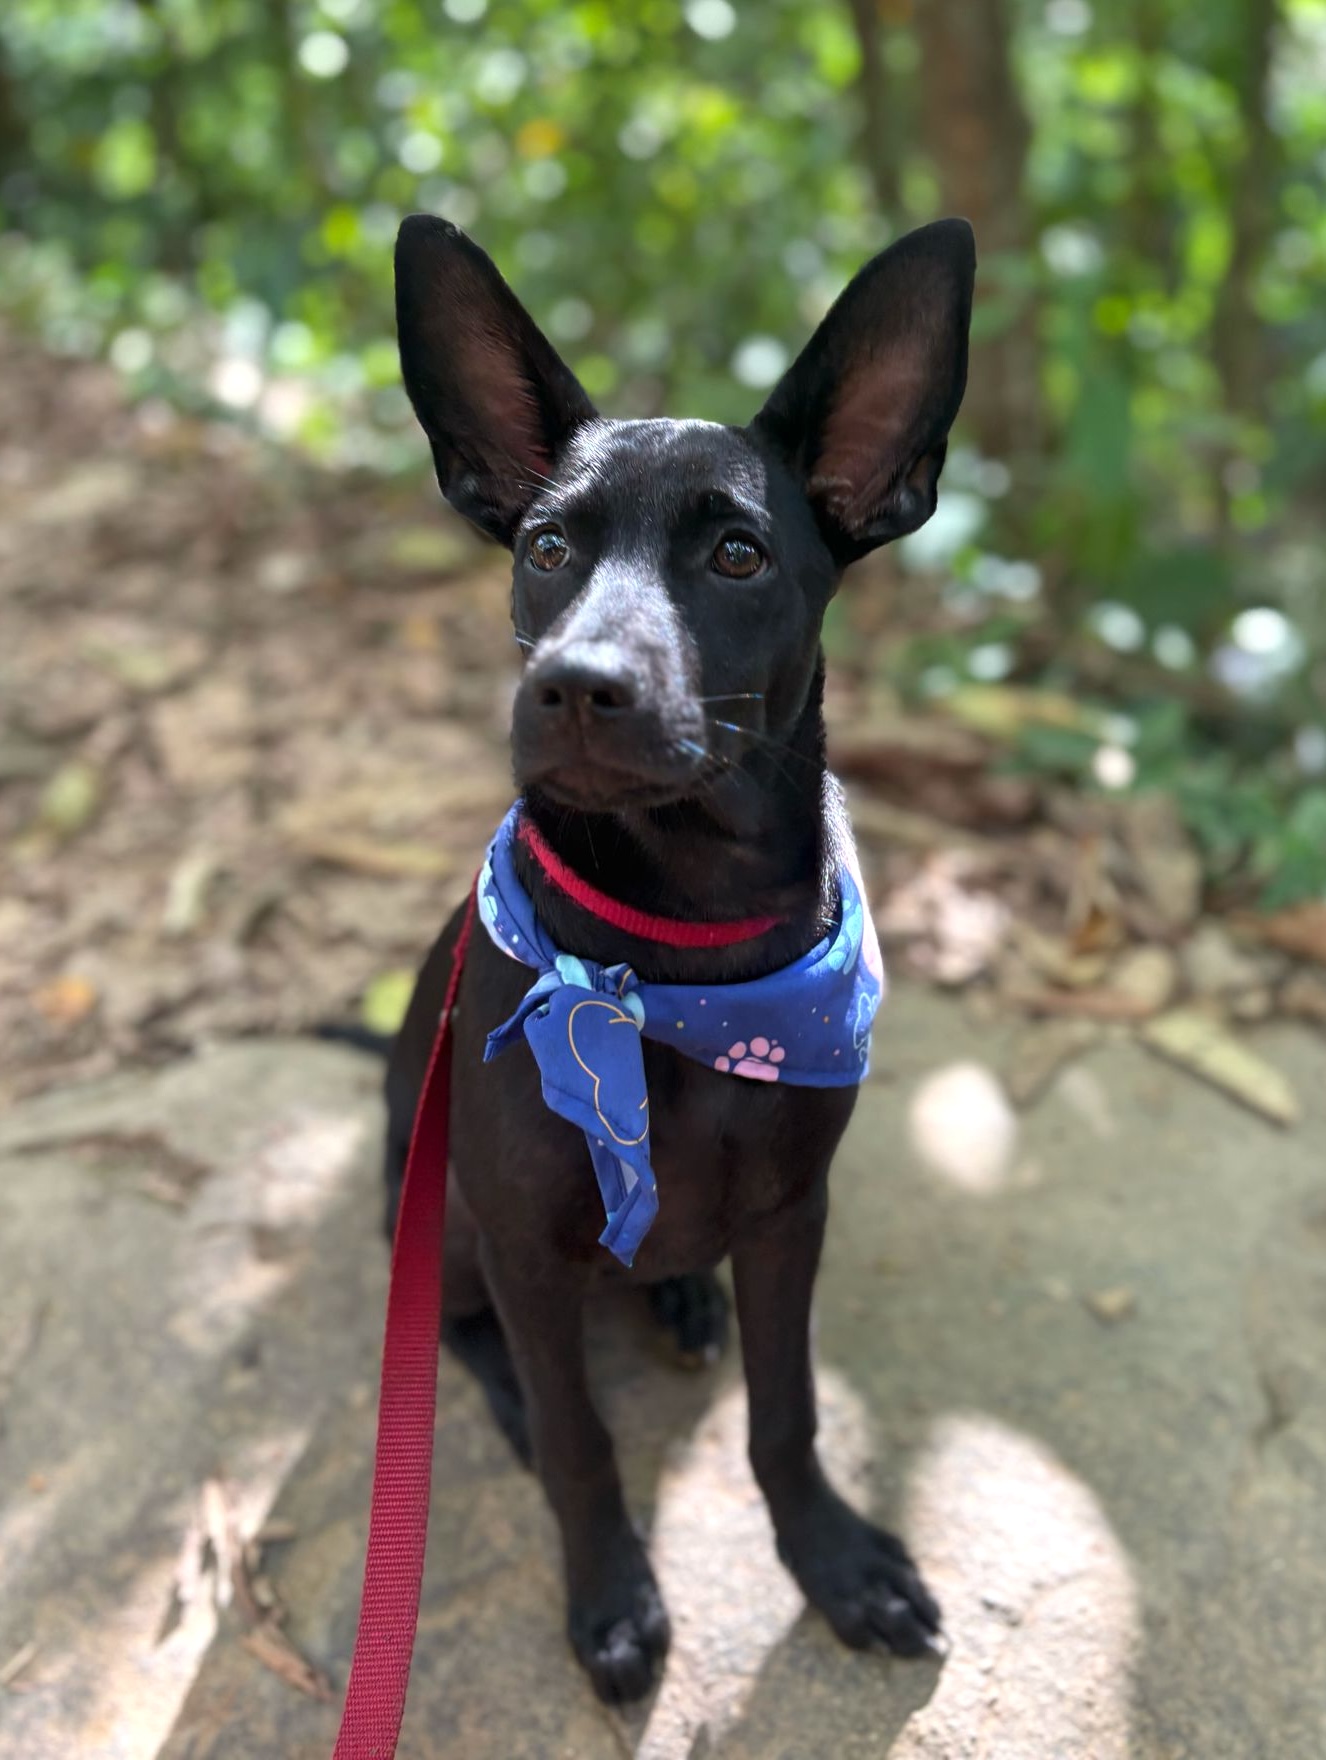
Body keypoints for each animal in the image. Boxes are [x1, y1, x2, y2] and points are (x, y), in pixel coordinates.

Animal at [382, 209, 972, 1703]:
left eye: (739, 557)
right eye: (543, 546)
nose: (576, 686)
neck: (677, 960)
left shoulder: (791, 1215)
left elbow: (788, 1410)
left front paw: (834, 1561)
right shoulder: (524, 1243)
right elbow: (582, 1441)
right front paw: (612, 1595)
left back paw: (683, 1299)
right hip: (441, 1219)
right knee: (471, 1342)